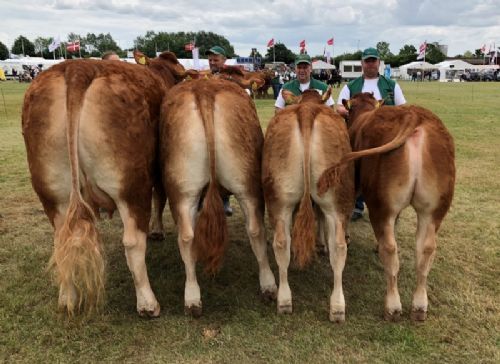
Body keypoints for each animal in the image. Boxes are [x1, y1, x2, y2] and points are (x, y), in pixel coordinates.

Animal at [21, 50, 190, 316]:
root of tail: (78, 69)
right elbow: (159, 198)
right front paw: (157, 230)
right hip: (130, 186)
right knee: (133, 242)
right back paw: (148, 304)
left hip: (51, 192)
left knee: (61, 240)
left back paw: (67, 299)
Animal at [262, 89, 356, 322]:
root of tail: (307, 110)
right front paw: (321, 244)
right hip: (338, 200)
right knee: (339, 246)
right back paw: (337, 306)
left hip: (280, 198)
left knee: (282, 243)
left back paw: (286, 301)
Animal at [318, 93, 456, 322]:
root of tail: (415, 116)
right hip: (434, 209)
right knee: (425, 249)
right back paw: (419, 306)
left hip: (381, 203)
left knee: (390, 249)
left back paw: (393, 306)